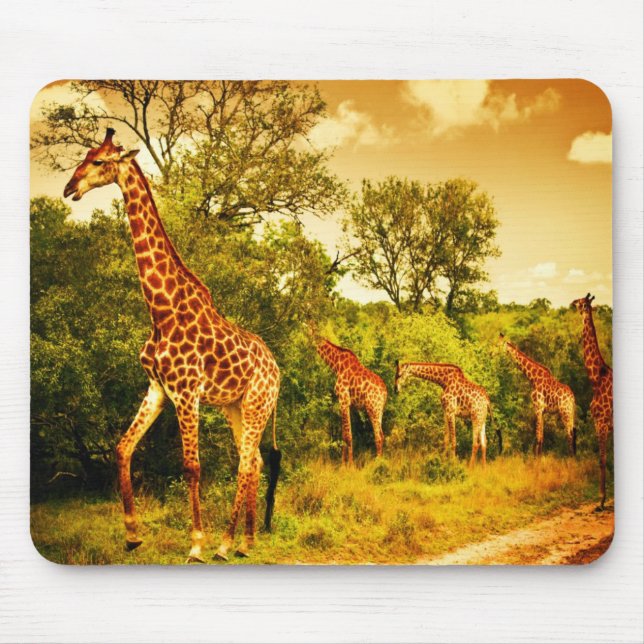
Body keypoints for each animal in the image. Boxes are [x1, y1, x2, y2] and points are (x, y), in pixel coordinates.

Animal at [63, 128, 281, 562]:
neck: (161, 311)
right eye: (85, 155)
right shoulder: (158, 389)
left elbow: (191, 467)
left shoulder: (186, 392)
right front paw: (132, 534)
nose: (68, 188)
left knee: (245, 463)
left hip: (257, 403)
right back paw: (246, 541)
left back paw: (224, 544)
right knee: (254, 460)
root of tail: (278, 369)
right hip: (235, 406)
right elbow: (122, 448)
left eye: (99, 162)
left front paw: (196, 544)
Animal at [308, 325, 387, 464]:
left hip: (373, 409)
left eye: (308, 332)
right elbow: (344, 434)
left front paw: (348, 464)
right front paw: (343, 462)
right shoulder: (345, 403)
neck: (336, 364)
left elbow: (347, 435)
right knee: (382, 434)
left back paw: (377, 463)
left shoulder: (344, 400)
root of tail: (384, 392)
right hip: (379, 410)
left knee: (378, 436)